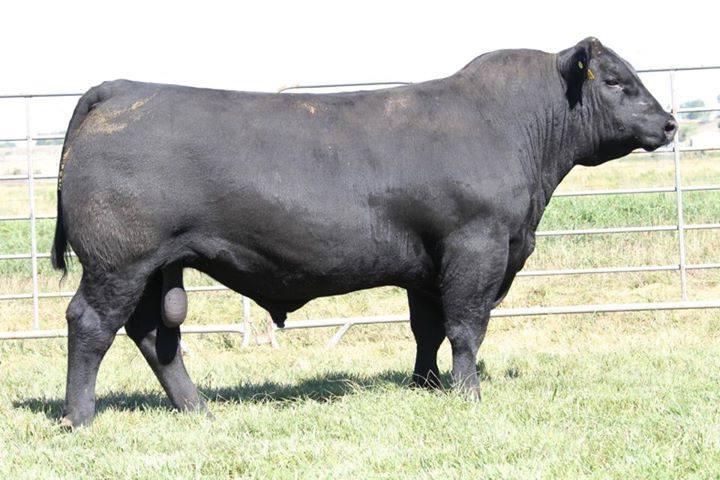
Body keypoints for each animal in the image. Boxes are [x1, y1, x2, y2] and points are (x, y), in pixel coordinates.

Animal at [51, 37, 677, 427]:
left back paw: (198, 409)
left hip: (157, 266)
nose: (670, 123)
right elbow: (466, 328)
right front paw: (468, 393)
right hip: (118, 261)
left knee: (156, 334)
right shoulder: (476, 247)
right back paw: (79, 418)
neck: (513, 128)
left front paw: (426, 386)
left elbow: (427, 329)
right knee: (92, 324)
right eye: (615, 80)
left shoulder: (428, 266)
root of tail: (120, 89)